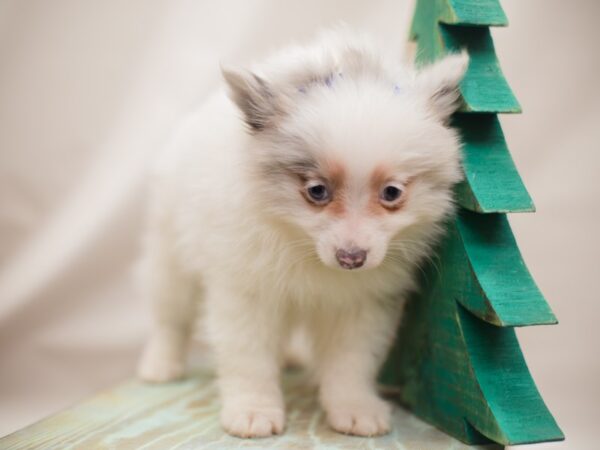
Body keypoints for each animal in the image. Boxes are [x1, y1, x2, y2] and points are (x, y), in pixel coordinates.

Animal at [138, 29, 466, 438]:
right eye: (317, 191)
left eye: (392, 193)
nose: (352, 258)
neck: (304, 247)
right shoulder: (245, 291)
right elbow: (249, 356)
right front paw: (252, 411)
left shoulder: (361, 304)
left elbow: (351, 360)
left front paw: (354, 409)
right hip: (169, 251)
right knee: (171, 314)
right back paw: (161, 365)